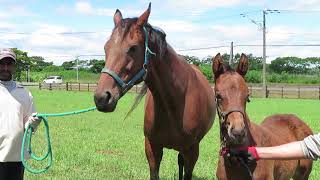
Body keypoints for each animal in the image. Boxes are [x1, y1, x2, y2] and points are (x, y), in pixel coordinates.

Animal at [94, 3, 216, 180]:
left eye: (133, 48)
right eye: (106, 47)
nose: (102, 98)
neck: (176, 103)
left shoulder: (192, 151)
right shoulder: (152, 147)